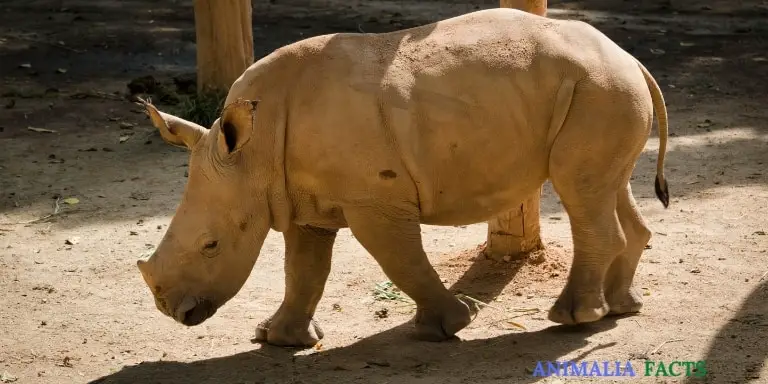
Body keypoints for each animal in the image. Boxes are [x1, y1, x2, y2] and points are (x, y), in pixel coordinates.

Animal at [136, 7, 664, 346]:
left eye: (211, 245)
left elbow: (400, 262)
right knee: (609, 186)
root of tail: (632, 59)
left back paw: (572, 319)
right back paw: (621, 308)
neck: (254, 153)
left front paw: (448, 325)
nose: (170, 310)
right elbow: (302, 269)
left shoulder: (375, 201)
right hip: (603, 90)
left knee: (581, 193)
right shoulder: (301, 201)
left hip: (599, 89)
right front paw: (277, 339)